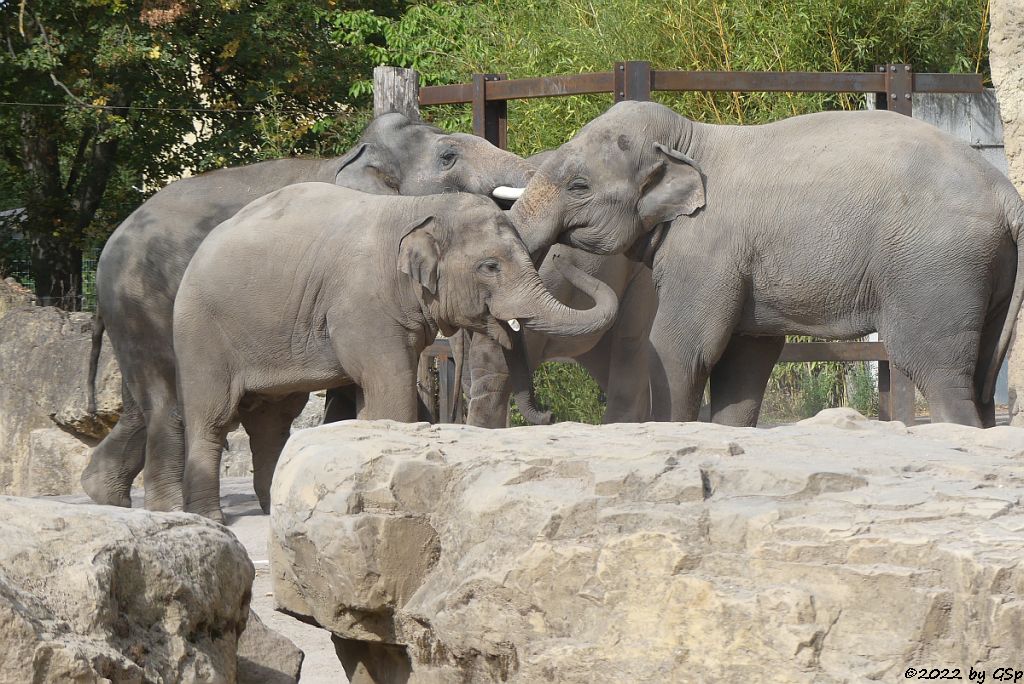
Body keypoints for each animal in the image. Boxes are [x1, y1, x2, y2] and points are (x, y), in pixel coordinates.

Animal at [83, 112, 532, 509]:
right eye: (448, 157)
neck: (354, 157)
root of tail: (109, 247)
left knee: (141, 405)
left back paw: (104, 493)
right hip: (145, 302)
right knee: (168, 402)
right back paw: (170, 508)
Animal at [174, 181, 614, 518]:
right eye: (489, 267)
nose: (550, 413)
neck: (419, 208)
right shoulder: (362, 305)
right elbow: (391, 385)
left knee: (272, 421)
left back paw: (272, 510)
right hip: (200, 335)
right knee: (213, 420)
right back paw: (211, 517)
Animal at [503, 100, 1024, 428]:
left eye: (578, 187)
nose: (548, 413)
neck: (692, 136)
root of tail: (1005, 192)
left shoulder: (707, 248)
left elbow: (679, 346)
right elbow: (744, 360)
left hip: (934, 265)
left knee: (933, 368)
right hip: (987, 271)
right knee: (981, 376)